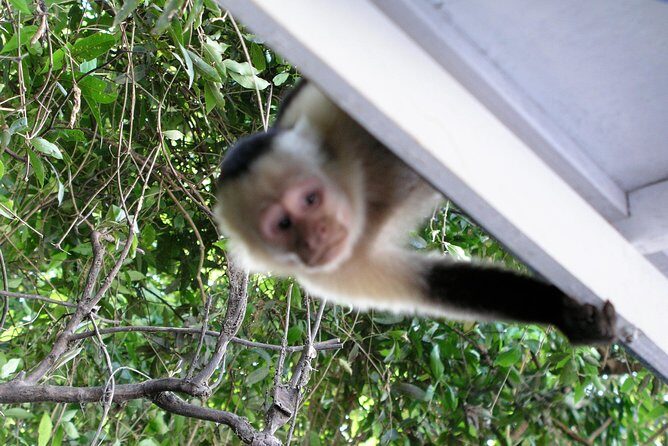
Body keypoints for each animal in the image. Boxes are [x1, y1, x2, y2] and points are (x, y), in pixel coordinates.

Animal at [215, 80, 616, 345]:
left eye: (310, 200)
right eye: (283, 225)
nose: (317, 238)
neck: (362, 195)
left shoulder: (324, 114)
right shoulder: (333, 272)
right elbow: (433, 284)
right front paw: (564, 316)